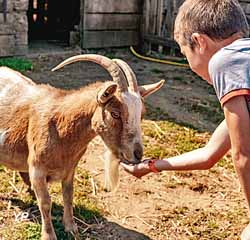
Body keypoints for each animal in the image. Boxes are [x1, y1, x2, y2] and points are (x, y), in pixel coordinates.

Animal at [0, 54, 164, 240]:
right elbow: (46, 202)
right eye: (115, 113)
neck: (61, 126)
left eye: (142, 114)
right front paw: (49, 235)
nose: (137, 154)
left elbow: (68, 194)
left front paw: (71, 227)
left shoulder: (70, 168)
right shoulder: (37, 169)